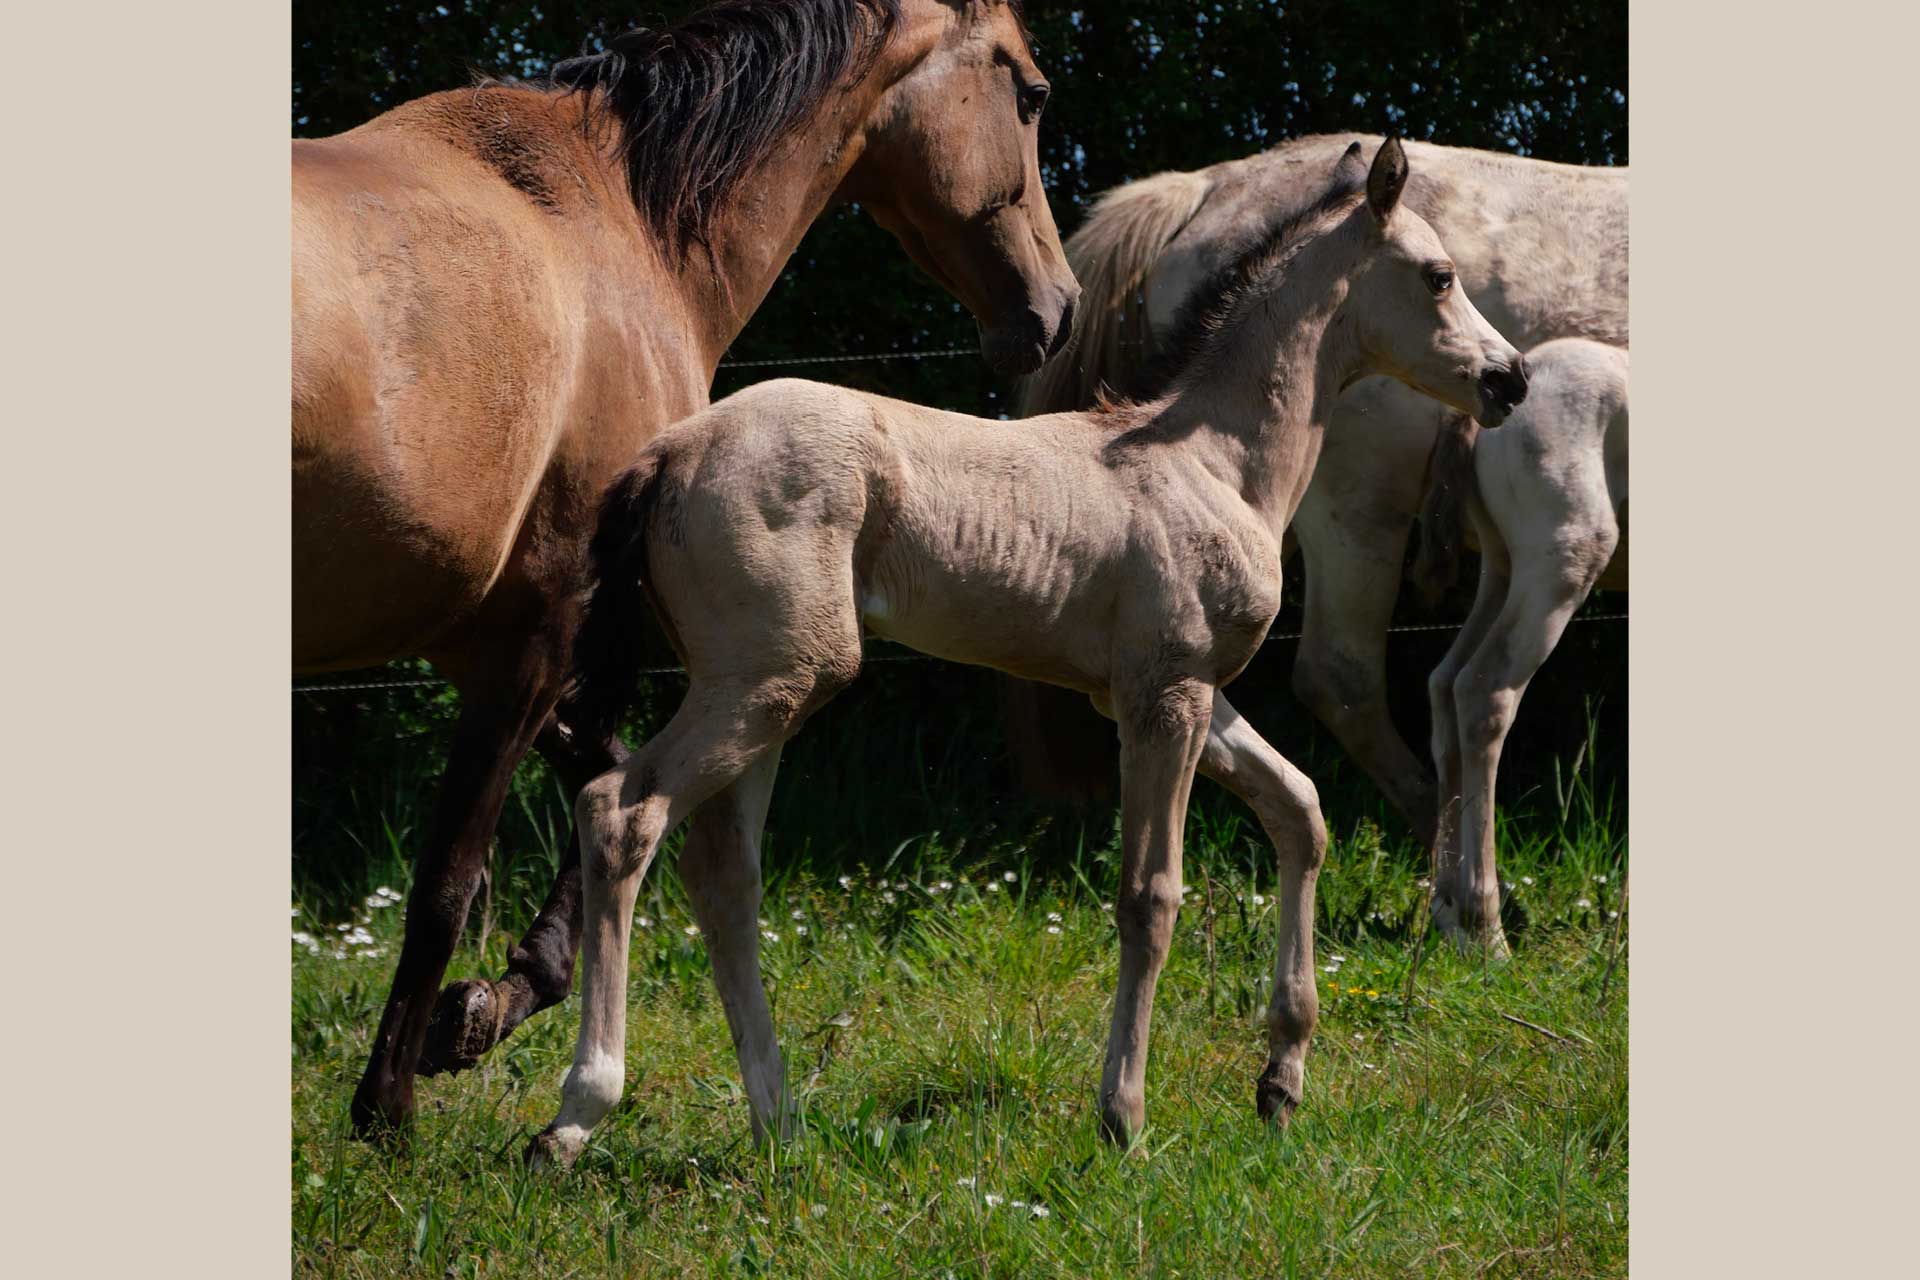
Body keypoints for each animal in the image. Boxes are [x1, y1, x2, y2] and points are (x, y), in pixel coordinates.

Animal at [295, 0, 1082, 1143]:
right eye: (1030, 93)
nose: (1059, 309)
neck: (615, 219)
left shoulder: (494, 641)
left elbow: (603, 790)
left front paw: (489, 1004)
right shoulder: (546, 628)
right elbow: (460, 871)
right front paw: (391, 1104)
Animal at [526, 142, 1528, 1174]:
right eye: (1438, 275)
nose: (1511, 379)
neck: (1216, 465)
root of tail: (667, 454)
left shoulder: (1174, 695)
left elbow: (1301, 812)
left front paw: (1280, 1081)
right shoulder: (1165, 697)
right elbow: (1150, 896)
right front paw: (1123, 1116)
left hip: (761, 691)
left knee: (724, 877)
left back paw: (780, 1124)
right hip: (771, 680)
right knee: (619, 812)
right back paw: (578, 1113)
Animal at [1013, 135, 1628, 951]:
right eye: (1439, 278)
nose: (1511, 378)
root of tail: (1200, 187)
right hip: (1372, 516)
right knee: (1362, 679)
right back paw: (1471, 906)